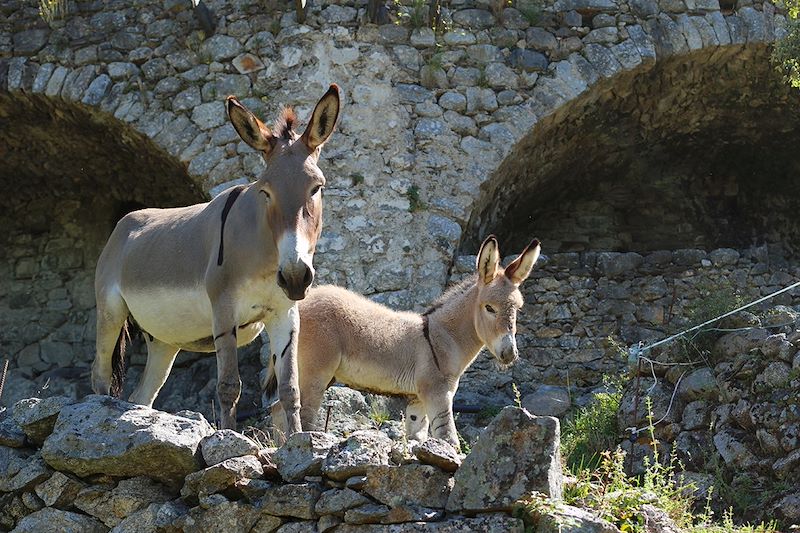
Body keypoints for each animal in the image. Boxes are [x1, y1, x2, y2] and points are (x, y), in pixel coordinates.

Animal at [91, 84, 340, 432]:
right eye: (265, 191)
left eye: (316, 188)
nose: (294, 276)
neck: (265, 256)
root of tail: (124, 223)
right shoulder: (223, 310)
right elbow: (229, 386)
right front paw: (228, 437)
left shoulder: (286, 313)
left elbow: (290, 389)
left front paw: (297, 440)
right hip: (110, 312)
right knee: (99, 377)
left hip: (163, 340)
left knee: (141, 396)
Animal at [270, 235, 544, 446]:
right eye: (489, 308)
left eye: (518, 308)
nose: (509, 354)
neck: (443, 337)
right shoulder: (439, 394)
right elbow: (449, 440)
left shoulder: (417, 401)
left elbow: (417, 438)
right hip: (316, 373)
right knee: (303, 415)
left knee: (277, 408)